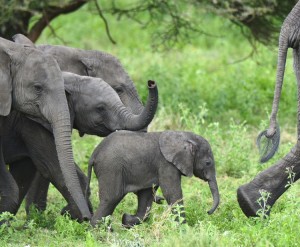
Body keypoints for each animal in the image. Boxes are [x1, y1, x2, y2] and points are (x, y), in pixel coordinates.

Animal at [87, 130, 220, 227]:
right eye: (208, 163)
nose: (208, 212)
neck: (183, 136)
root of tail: (94, 153)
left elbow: (146, 196)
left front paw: (126, 220)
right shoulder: (166, 164)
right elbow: (172, 193)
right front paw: (184, 230)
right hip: (110, 168)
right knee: (111, 198)